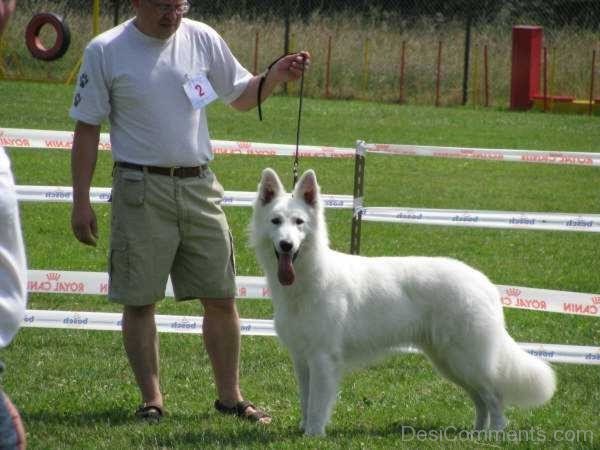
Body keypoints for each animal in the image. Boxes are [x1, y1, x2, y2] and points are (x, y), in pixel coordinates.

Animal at [250, 169, 556, 436]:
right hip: (449, 362)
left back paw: (494, 434)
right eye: (276, 221)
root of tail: (484, 283)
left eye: (299, 222)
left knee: (495, 396)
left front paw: (313, 435)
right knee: (481, 399)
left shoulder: (323, 359)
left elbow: (317, 404)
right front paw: (302, 428)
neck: (308, 279)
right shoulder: (302, 359)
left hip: (466, 358)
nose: (287, 245)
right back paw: (476, 433)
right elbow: (305, 399)